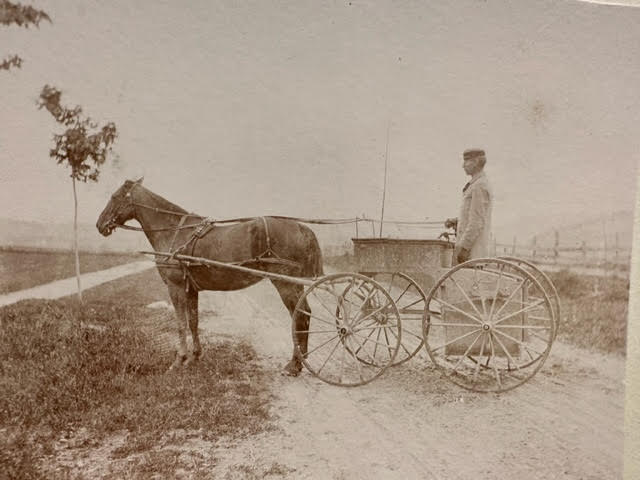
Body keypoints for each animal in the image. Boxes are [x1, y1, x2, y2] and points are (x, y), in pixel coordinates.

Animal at [95, 178, 322, 374]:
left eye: (115, 196)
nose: (100, 225)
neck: (175, 231)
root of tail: (301, 227)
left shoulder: (175, 287)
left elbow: (180, 323)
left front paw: (179, 360)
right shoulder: (191, 289)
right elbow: (193, 321)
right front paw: (195, 356)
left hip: (285, 283)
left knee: (300, 317)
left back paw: (294, 365)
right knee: (304, 315)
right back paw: (300, 362)